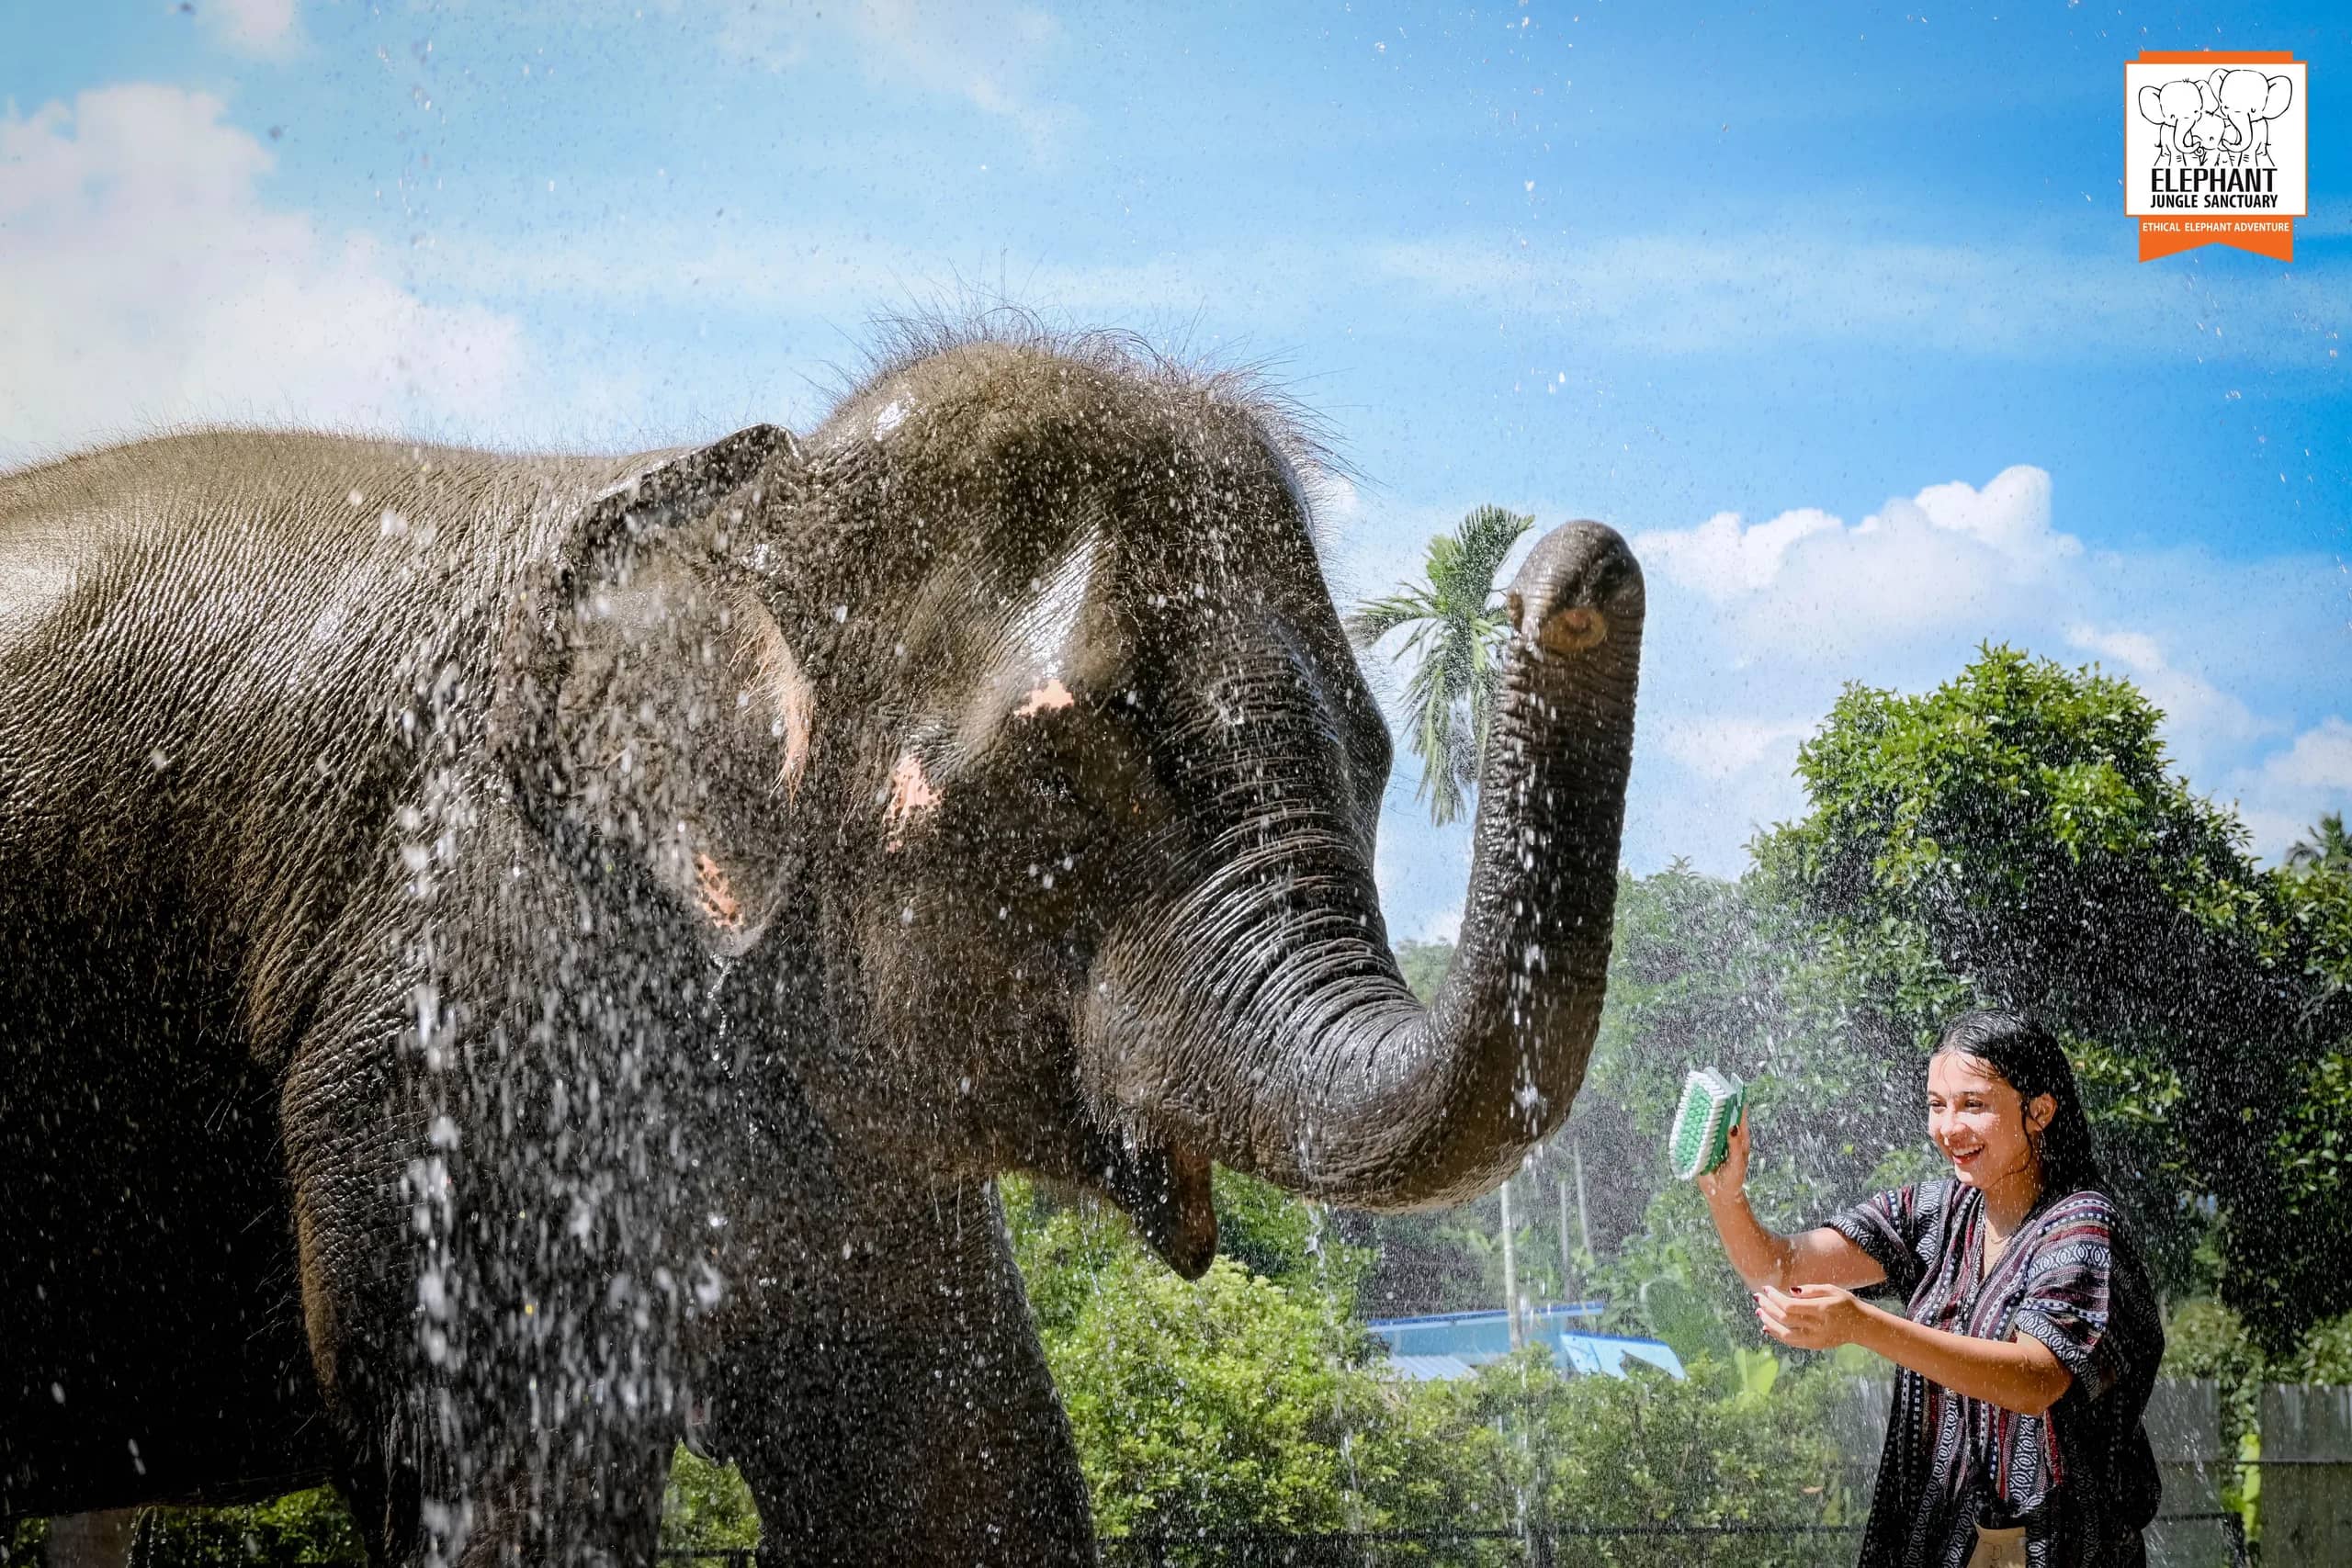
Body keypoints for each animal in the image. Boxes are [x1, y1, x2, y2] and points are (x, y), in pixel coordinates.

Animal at [0, 325, 1645, 1564]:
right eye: (1066, 771)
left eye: (1375, 757)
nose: (1575, 571)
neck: (755, 510)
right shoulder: (458, 1024)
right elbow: (512, 1482)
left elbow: (951, 1473)